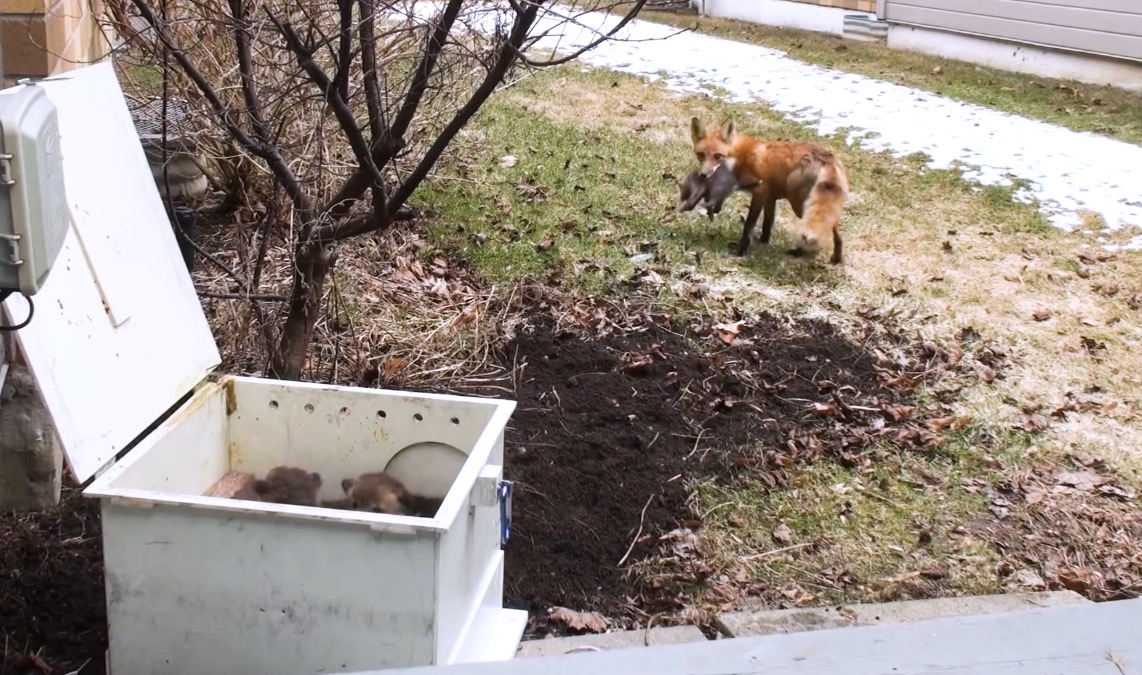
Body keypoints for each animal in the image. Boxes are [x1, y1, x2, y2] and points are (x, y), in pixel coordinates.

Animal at [685, 117, 849, 262]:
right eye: (701, 155)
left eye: (718, 156)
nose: (703, 175)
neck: (740, 157)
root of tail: (826, 158)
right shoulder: (770, 196)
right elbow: (768, 222)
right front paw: (763, 241)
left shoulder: (760, 191)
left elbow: (749, 225)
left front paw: (741, 252)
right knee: (836, 233)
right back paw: (836, 258)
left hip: (798, 203)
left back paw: (801, 252)